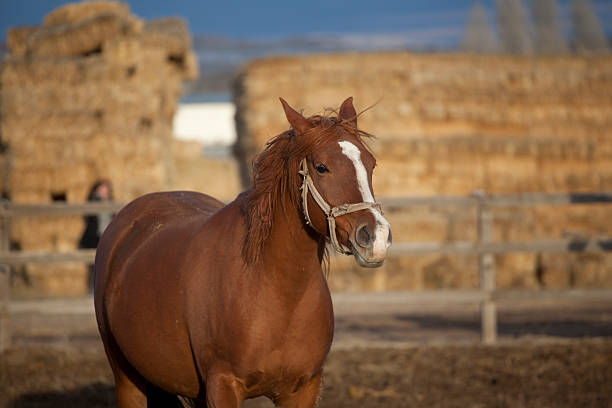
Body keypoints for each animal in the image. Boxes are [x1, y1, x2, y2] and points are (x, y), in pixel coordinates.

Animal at [95, 97, 392, 406]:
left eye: (371, 164)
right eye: (321, 167)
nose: (375, 237)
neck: (274, 290)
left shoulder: (303, 389)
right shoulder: (222, 385)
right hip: (127, 380)